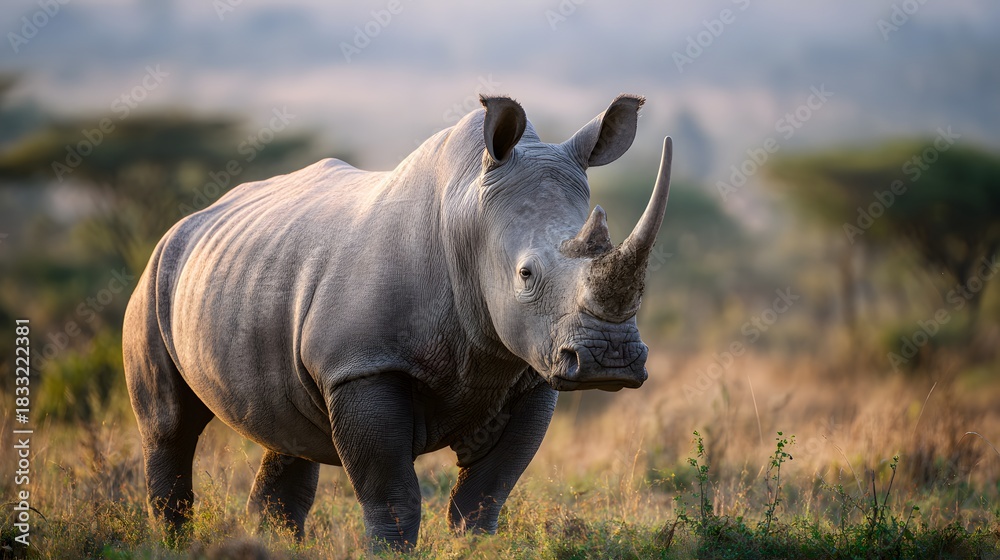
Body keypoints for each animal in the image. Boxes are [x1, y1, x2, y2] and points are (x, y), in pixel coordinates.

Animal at [123, 93, 672, 550]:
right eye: (526, 274)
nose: (610, 360)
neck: (468, 217)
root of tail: (189, 220)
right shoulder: (360, 365)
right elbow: (391, 493)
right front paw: (390, 551)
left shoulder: (530, 373)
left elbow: (485, 496)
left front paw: (474, 548)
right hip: (156, 278)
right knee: (170, 428)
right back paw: (170, 542)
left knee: (286, 430)